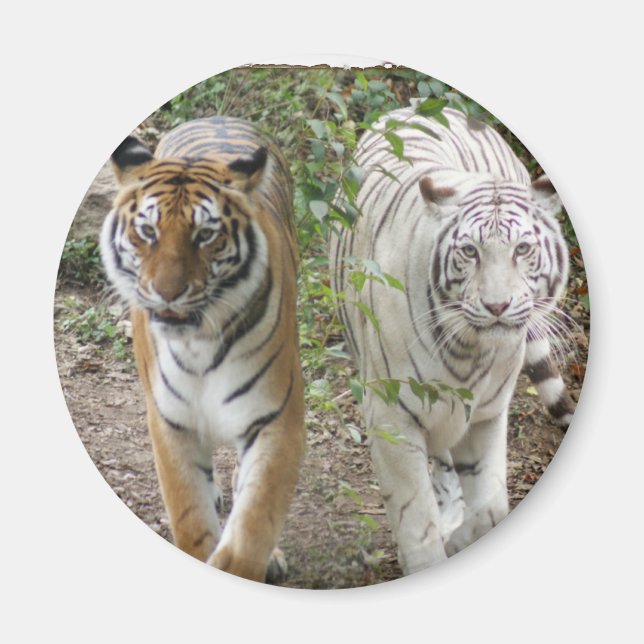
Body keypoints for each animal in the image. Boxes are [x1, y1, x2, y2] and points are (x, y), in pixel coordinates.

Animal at [100, 116, 305, 583]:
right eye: (148, 231)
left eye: (205, 235)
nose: (168, 293)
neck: (200, 345)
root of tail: (218, 117)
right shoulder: (171, 423)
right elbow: (190, 516)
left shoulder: (277, 418)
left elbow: (254, 521)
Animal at [329, 105, 577, 576]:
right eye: (470, 252)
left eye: (522, 249)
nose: (497, 306)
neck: (470, 351)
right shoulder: (392, 416)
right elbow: (416, 521)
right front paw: (433, 547)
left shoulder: (486, 416)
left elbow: (490, 511)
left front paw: (463, 537)